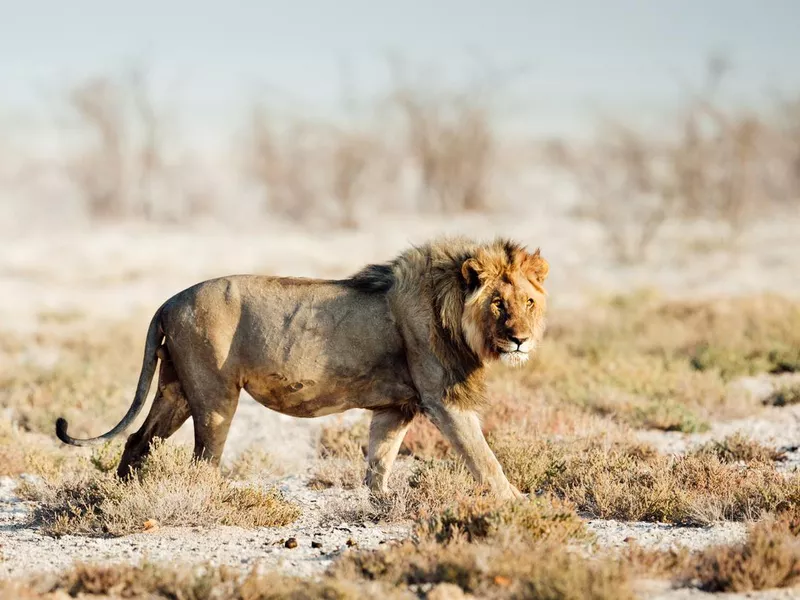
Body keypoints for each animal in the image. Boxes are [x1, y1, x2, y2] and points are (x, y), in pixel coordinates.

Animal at [56, 237, 548, 500]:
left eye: (528, 301)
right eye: (498, 303)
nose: (520, 339)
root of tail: (167, 301)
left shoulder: (397, 407)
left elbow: (379, 461)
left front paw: (381, 503)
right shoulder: (443, 401)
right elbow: (484, 460)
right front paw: (517, 502)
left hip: (175, 388)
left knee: (139, 439)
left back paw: (118, 497)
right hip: (215, 396)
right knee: (202, 460)